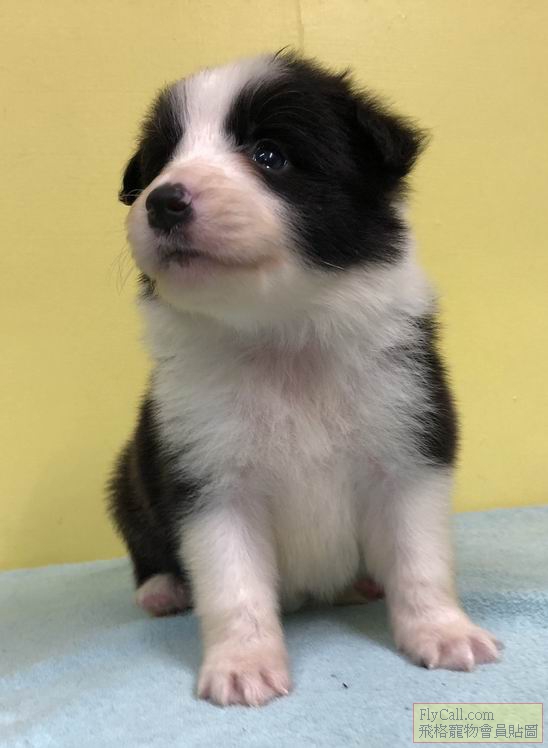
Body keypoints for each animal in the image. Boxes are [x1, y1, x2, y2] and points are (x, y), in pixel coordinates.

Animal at [109, 51, 500, 707]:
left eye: (270, 154)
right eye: (161, 162)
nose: (163, 201)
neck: (283, 336)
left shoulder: (408, 447)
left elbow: (420, 559)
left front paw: (444, 632)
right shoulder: (209, 477)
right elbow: (233, 584)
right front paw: (243, 664)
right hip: (128, 475)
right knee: (146, 544)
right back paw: (163, 587)